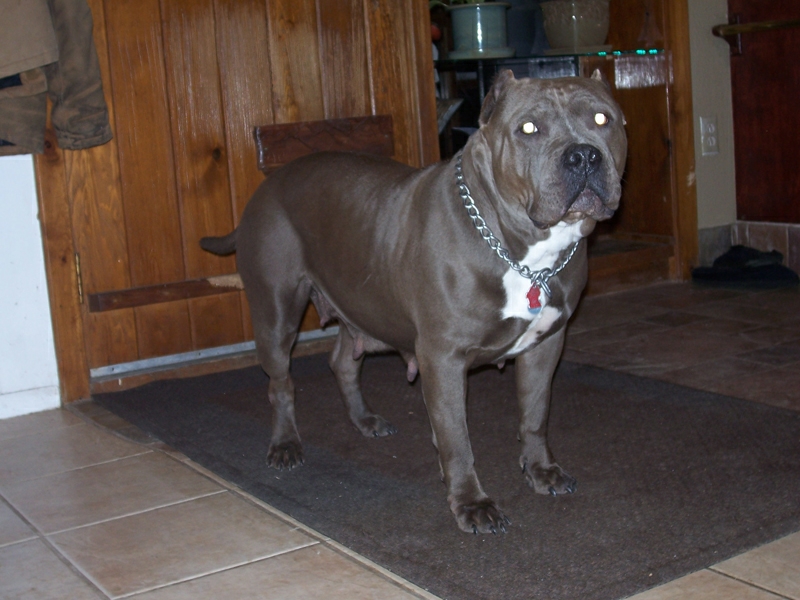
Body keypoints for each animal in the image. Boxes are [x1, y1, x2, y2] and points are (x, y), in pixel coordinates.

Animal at [201, 69, 627, 534]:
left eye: (603, 119)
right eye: (528, 129)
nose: (583, 156)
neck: (526, 254)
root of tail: (268, 184)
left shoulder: (546, 344)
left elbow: (535, 413)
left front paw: (540, 470)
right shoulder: (443, 358)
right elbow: (456, 438)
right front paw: (472, 503)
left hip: (361, 305)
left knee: (342, 361)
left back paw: (365, 421)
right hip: (277, 314)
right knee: (280, 384)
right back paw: (285, 444)